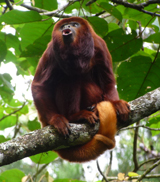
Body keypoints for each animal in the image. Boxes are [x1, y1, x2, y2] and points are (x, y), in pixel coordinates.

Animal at [31, 17, 130, 162]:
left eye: (74, 24)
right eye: (63, 26)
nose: (66, 26)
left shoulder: (100, 45)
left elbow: (108, 82)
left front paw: (117, 104)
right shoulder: (51, 51)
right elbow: (39, 85)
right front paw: (56, 119)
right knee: (70, 78)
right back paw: (74, 116)